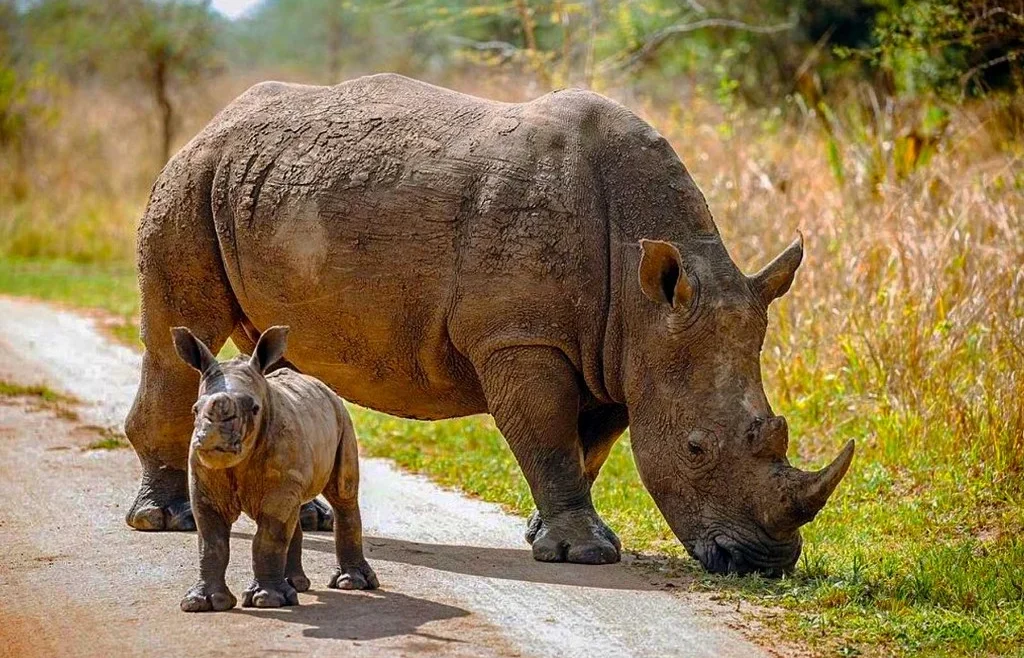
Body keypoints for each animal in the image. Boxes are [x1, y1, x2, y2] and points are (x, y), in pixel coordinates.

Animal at [124, 73, 854, 575]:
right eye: (697, 448)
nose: (765, 564)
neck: (645, 294)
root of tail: (212, 122)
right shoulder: (523, 337)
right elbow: (549, 436)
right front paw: (586, 555)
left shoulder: (620, 350)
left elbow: (589, 447)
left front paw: (545, 537)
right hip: (191, 181)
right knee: (179, 335)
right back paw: (164, 520)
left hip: (255, 190)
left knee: (270, 349)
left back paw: (304, 516)